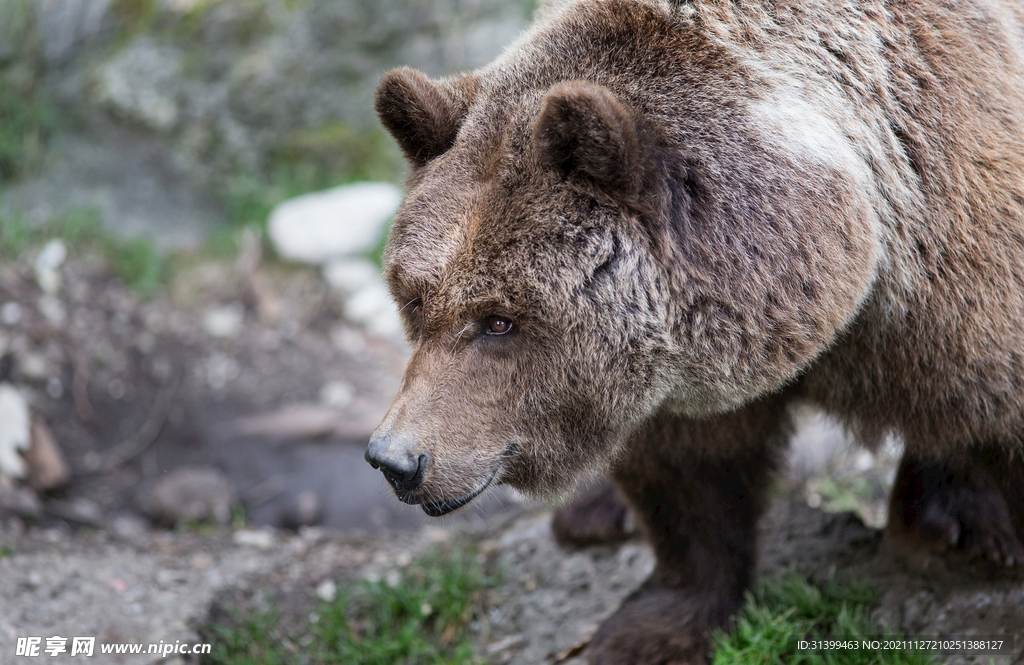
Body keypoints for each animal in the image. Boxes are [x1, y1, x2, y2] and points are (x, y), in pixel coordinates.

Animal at [366, 1, 1024, 659]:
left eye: (498, 320)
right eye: (415, 299)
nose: (396, 460)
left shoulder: (953, 264)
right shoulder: (668, 372)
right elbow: (688, 476)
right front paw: (651, 627)